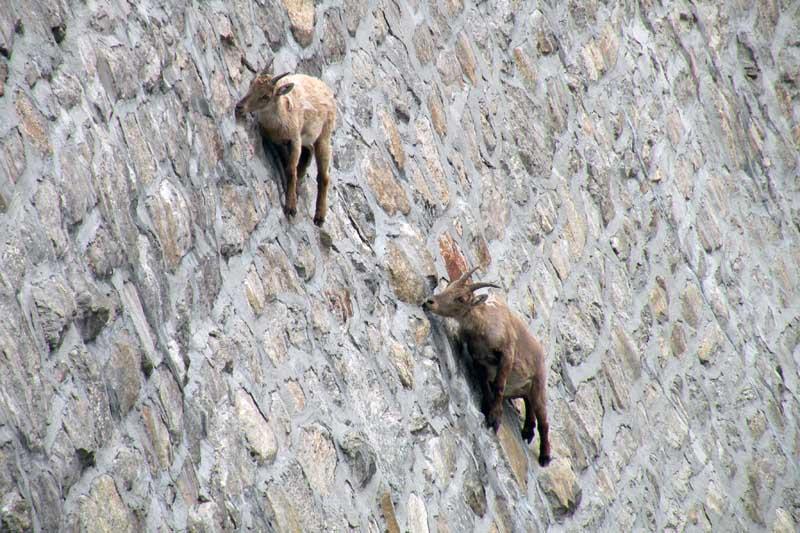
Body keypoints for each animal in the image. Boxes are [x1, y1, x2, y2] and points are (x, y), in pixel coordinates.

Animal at [238, 59, 338, 225]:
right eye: (251, 83)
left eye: (266, 96)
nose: (239, 106)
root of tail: (327, 90)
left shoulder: (295, 139)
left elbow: (291, 170)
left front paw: (291, 207)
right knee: (308, 152)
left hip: (324, 136)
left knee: (323, 176)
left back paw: (319, 216)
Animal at [424, 266, 552, 466]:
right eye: (449, 287)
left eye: (461, 298)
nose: (430, 302)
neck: (483, 324)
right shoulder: (478, 360)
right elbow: (485, 383)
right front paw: (486, 406)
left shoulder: (507, 354)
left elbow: (499, 385)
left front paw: (495, 418)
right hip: (523, 388)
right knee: (527, 402)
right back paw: (527, 432)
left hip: (538, 384)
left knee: (543, 421)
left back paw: (545, 456)